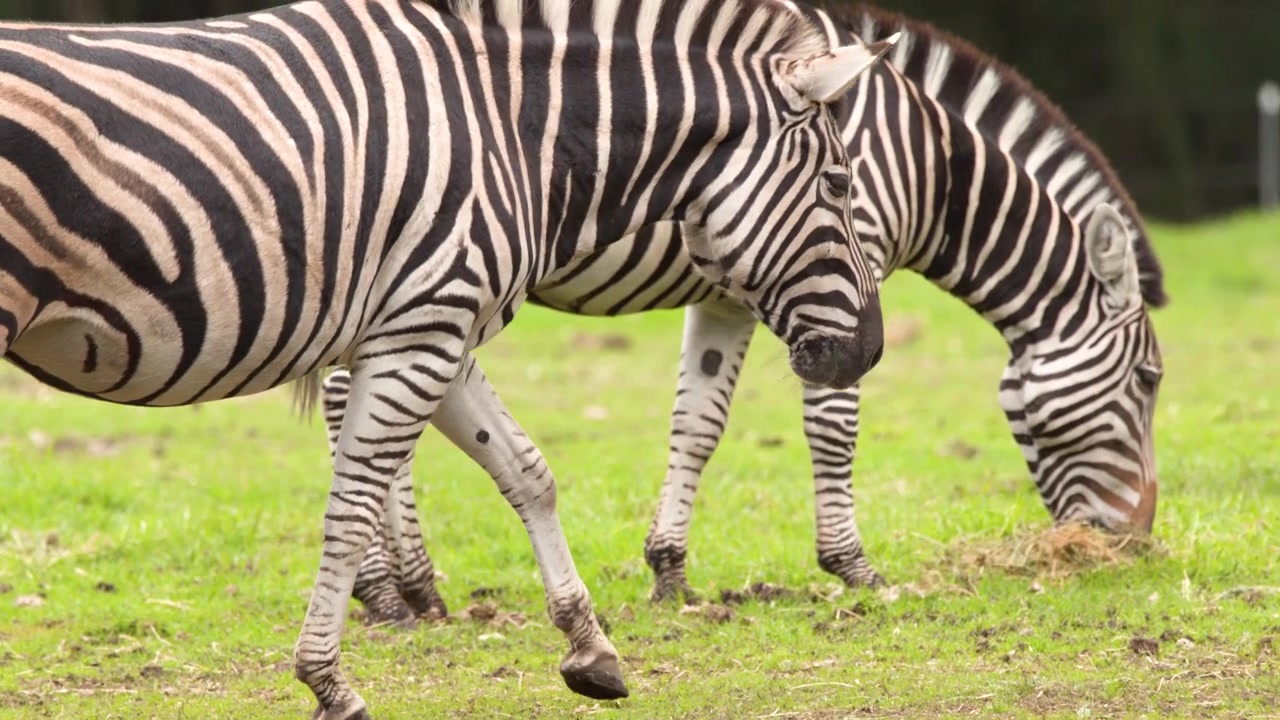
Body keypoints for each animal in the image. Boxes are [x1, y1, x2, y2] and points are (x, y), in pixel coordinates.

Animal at [0, 0, 897, 714]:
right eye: (841, 185)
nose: (867, 352)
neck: (516, 133)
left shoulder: (437, 323)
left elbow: (528, 471)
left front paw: (591, 649)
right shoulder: (422, 330)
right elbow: (352, 507)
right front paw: (329, 682)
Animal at [317, 2, 1168, 622]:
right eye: (1150, 381)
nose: (1134, 544)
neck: (925, 167)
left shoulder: (730, 292)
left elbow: (698, 425)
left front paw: (669, 573)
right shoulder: (843, 270)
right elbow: (834, 426)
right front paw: (853, 567)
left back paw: (415, 588)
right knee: (345, 406)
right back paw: (390, 590)